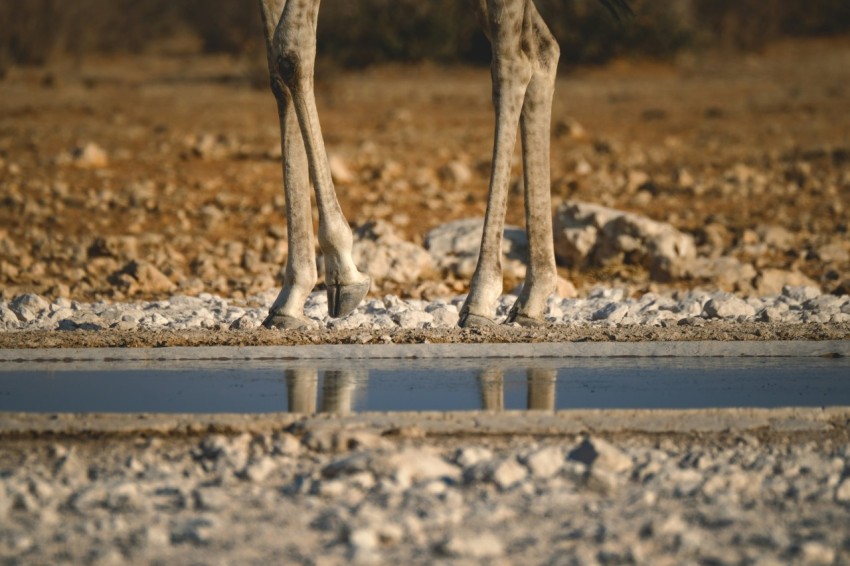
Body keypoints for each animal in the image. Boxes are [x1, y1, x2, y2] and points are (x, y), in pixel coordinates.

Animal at [255, 0, 628, 330]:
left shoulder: (295, 45)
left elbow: (292, 48)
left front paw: (343, 270)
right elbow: (275, 67)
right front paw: (291, 297)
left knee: (513, 61)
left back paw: (481, 299)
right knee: (541, 49)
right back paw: (531, 300)